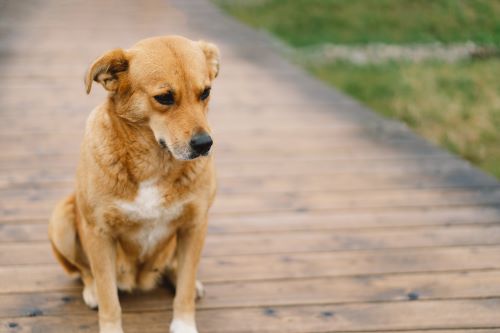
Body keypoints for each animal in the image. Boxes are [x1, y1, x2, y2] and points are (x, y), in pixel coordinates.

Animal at [48, 35, 219, 332]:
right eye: (164, 97)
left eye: (205, 93)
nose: (204, 144)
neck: (155, 161)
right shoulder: (99, 233)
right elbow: (109, 299)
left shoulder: (195, 225)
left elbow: (184, 290)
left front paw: (184, 323)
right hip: (62, 219)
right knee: (85, 272)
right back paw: (91, 290)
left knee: (179, 270)